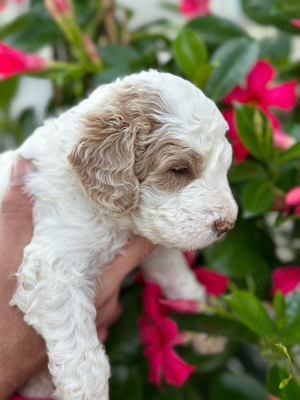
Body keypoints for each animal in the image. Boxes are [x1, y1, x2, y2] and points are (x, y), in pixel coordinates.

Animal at [0, 70, 237, 398]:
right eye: (179, 169)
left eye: (224, 169)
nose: (227, 224)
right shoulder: (53, 267)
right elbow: (80, 346)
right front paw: (87, 391)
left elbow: (175, 275)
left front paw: (202, 320)